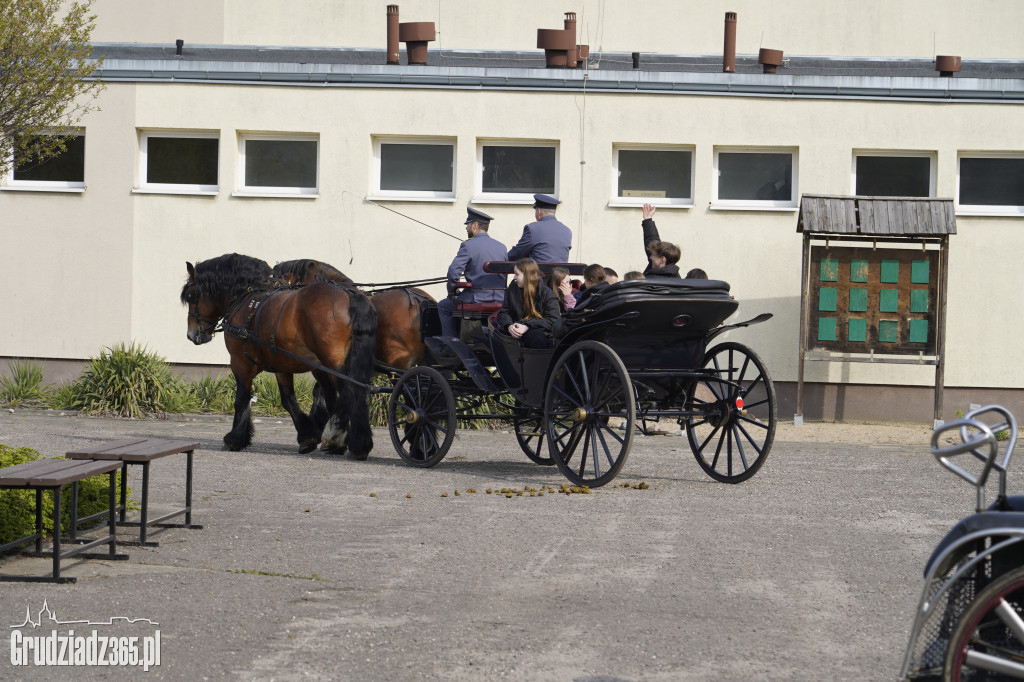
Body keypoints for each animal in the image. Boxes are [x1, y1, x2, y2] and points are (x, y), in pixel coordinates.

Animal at [182, 253, 378, 456]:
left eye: (190, 295)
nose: (192, 334)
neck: (247, 298)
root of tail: (350, 295)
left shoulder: (240, 363)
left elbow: (241, 399)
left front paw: (235, 439)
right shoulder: (280, 365)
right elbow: (288, 399)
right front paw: (307, 436)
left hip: (332, 365)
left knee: (349, 394)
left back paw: (352, 442)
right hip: (326, 366)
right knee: (345, 396)